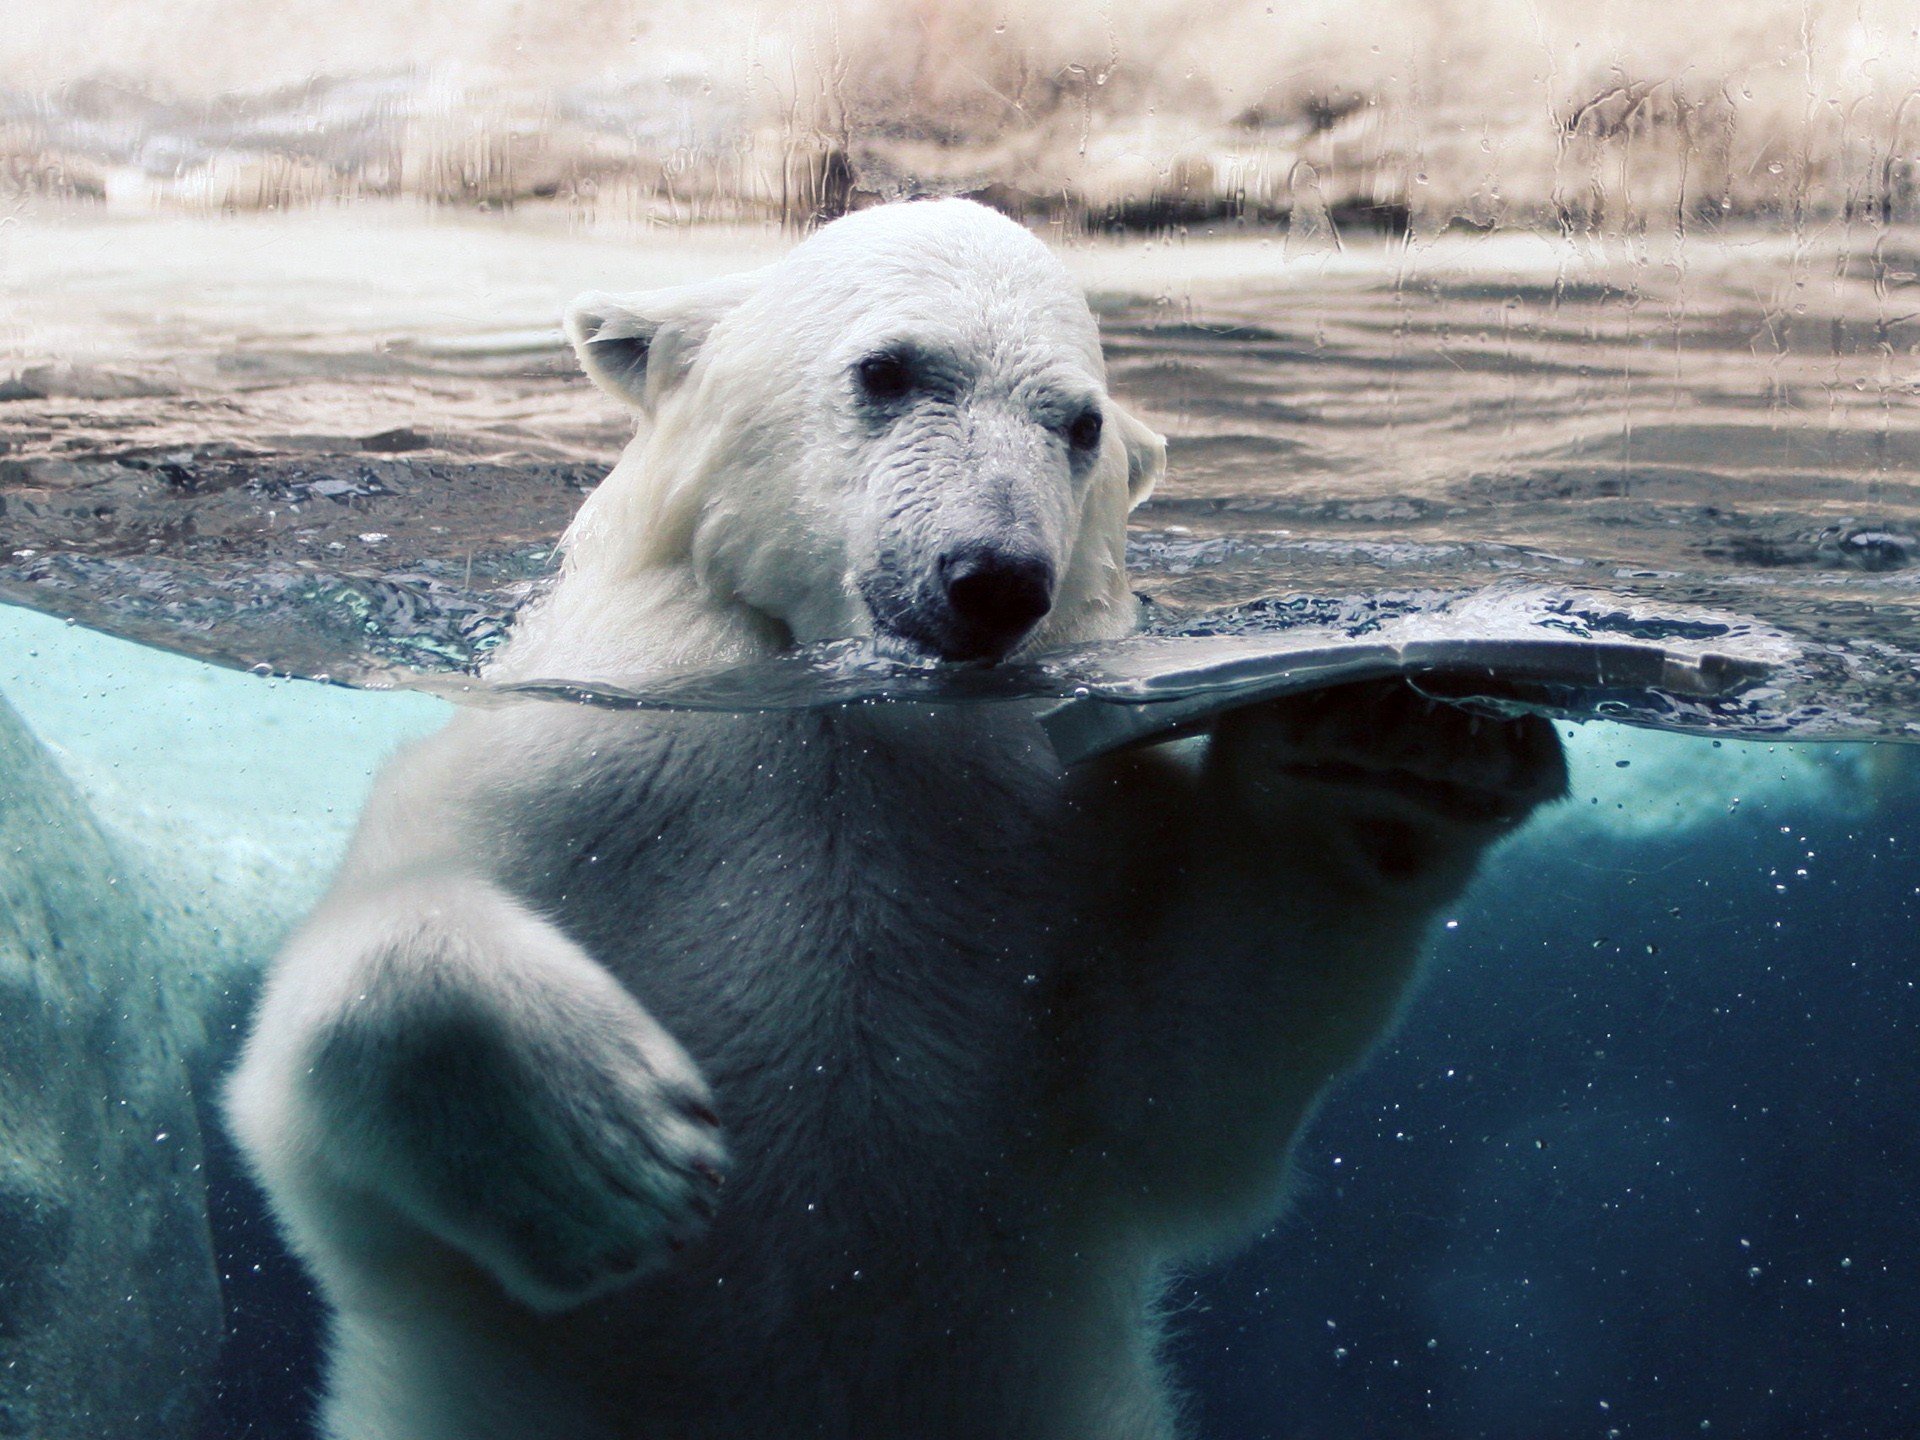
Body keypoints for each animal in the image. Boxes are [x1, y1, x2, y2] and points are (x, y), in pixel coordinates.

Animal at [228, 200, 1559, 1440]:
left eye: (1078, 425)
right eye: (889, 370)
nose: (995, 577)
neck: (845, 714)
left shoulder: (1060, 837)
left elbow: (1185, 1076)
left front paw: (1393, 744)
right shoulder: (575, 768)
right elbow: (306, 1079)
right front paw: (617, 1162)